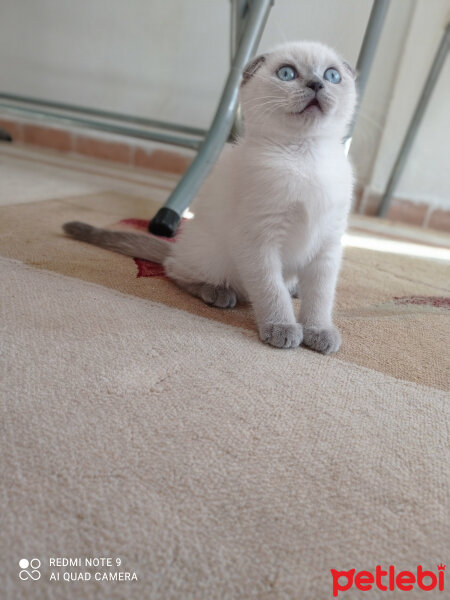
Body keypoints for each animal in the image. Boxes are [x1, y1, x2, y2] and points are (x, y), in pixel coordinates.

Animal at [64, 42, 356, 354]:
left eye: (332, 76)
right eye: (287, 73)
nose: (316, 84)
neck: (305, 156)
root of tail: (180, 246)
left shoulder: (328, 243)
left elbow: (321, 297)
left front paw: (319, 331)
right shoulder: (259, 240)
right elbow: (271, 290)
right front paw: (282, 327)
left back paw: (295, 288)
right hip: (213, 256)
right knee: (175, 269)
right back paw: (217, 292)